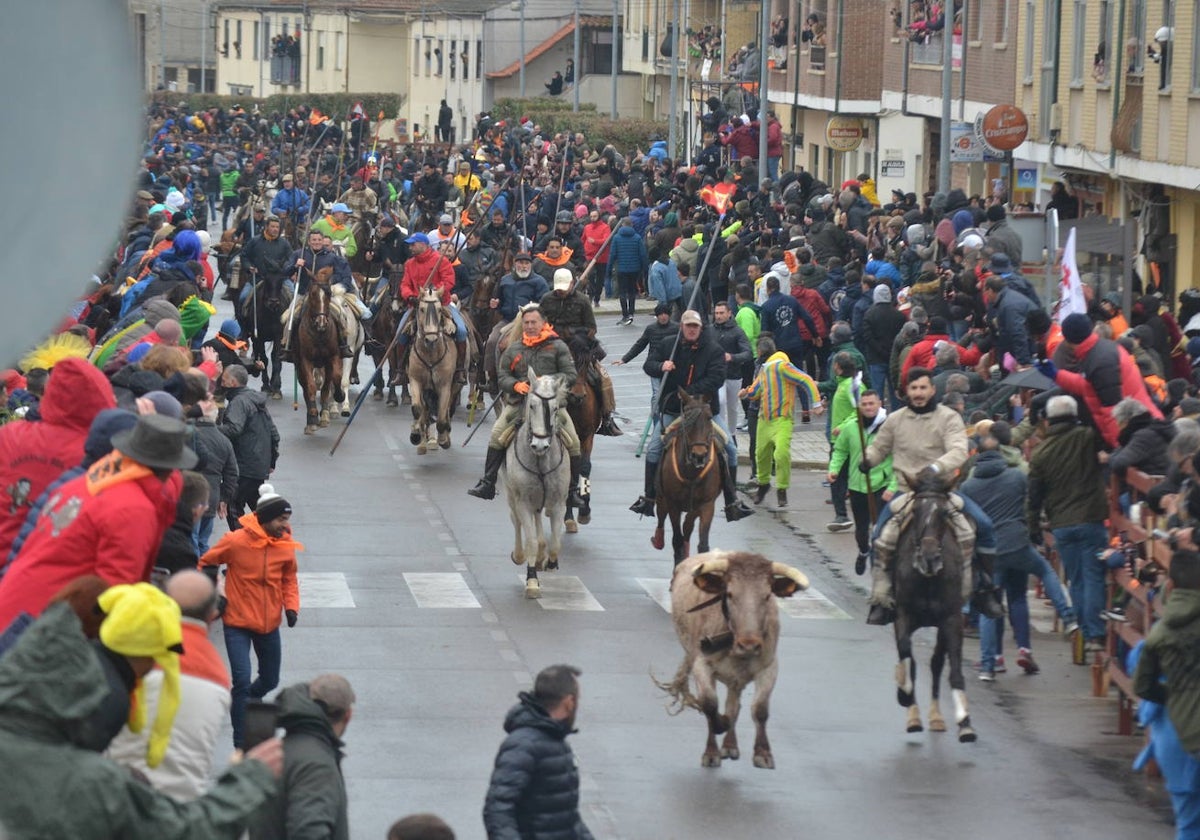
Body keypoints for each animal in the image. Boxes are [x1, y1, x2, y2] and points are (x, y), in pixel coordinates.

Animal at [296, 267, 348, 432]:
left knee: (327, 386)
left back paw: (324, 414)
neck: (319, 334)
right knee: (306, 388)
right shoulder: (305, 360)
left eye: (329, 293)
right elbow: (311, 386)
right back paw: (311, 420)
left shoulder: (333, 357)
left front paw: (339, 396)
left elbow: (336, 378)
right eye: (312, 293)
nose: (321, 323)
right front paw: (312, 414)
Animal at [652, 391, 724, 564]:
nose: (699, 455)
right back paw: (658, 540)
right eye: (687, 418)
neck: (691, 473)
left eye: (709, 417)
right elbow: (676, 540)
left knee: (688, 526)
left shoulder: (707, 505)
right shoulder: (673, 504)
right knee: (661, 518)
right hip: (662, 499)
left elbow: (702, 544)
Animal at [652, 547, 811, 772]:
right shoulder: (702, 664)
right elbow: (709, 705)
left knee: (734, 705)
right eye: (729, 593)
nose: (749, 644)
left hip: (737, 680)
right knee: (725, 707)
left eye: (767, 595)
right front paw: (713, 745)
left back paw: (730, 746)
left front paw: (763, 753)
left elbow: (759, 709)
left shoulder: (769, 667)